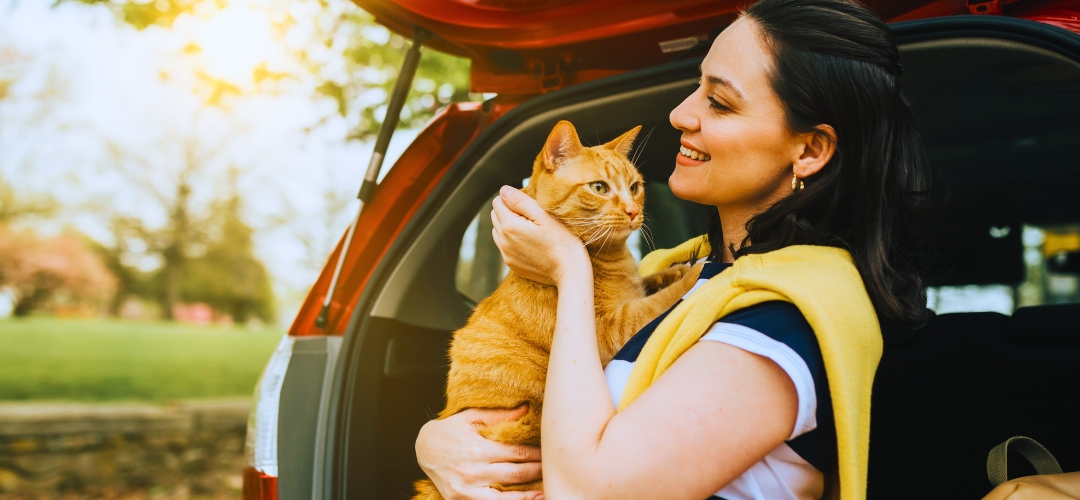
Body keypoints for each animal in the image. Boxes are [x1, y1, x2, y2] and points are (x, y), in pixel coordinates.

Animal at [410, 121, 699, 500]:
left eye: (635, 188)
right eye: (599, 188)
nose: (633, 212)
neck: (611, 259)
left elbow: (649, 283)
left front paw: (674, 272)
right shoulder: (609, 331)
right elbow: (654, 304)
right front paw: (695, 276)